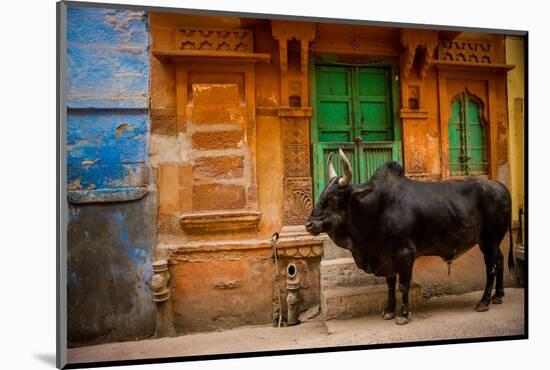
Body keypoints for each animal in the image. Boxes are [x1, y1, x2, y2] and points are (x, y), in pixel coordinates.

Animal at [308, 149, 516, 326]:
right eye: (322, 194)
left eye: (334, 199)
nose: (309, 223)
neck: (377, 208)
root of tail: (502, 187)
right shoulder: (387, 256)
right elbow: (390, 284)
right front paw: (389, 310)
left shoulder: (404, 254)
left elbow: (403, 285)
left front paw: (402, 314)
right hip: (493, 241)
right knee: (500, 260)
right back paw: (498, 296)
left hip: (489, 240)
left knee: (491, 268)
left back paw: (484, 302)